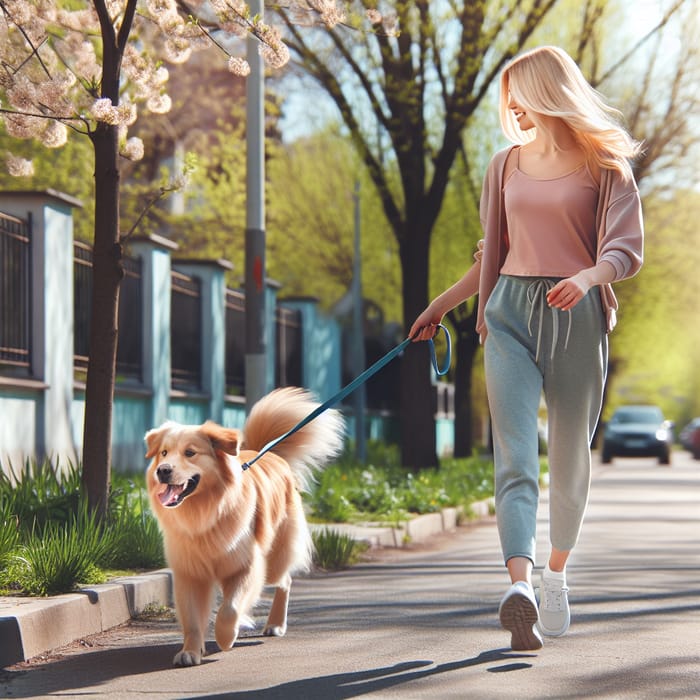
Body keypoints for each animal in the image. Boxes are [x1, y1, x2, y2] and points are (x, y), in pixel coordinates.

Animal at [145, 388, 344, 668]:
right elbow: (193, 619)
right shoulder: (190, 573)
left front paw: (227, 636)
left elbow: (230, 609)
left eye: (190, 453)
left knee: (285, 580)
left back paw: (275, 624)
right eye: (163, 453)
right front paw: (191, 651)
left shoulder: (246, 565)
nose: (162, 471)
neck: (205, 514)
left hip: (275, 558)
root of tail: (270, 453)